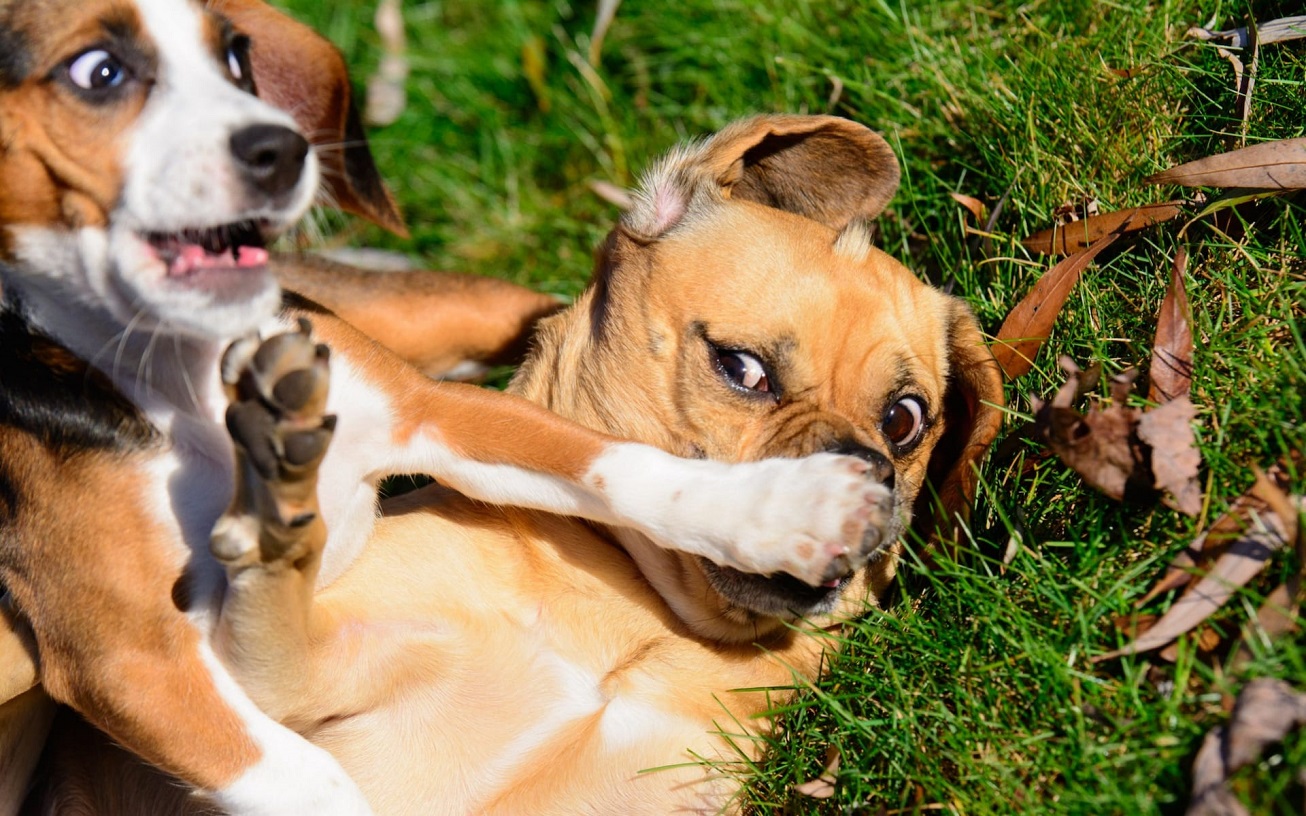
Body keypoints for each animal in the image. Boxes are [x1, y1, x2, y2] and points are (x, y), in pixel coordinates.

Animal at [0, 3, 893, 809]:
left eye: (234, 56)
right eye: (98, 73)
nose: (281, 151)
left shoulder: (436, 412)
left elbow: (620, 468)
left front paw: (786, 510)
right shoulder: (134, 665)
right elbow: (314, 781)